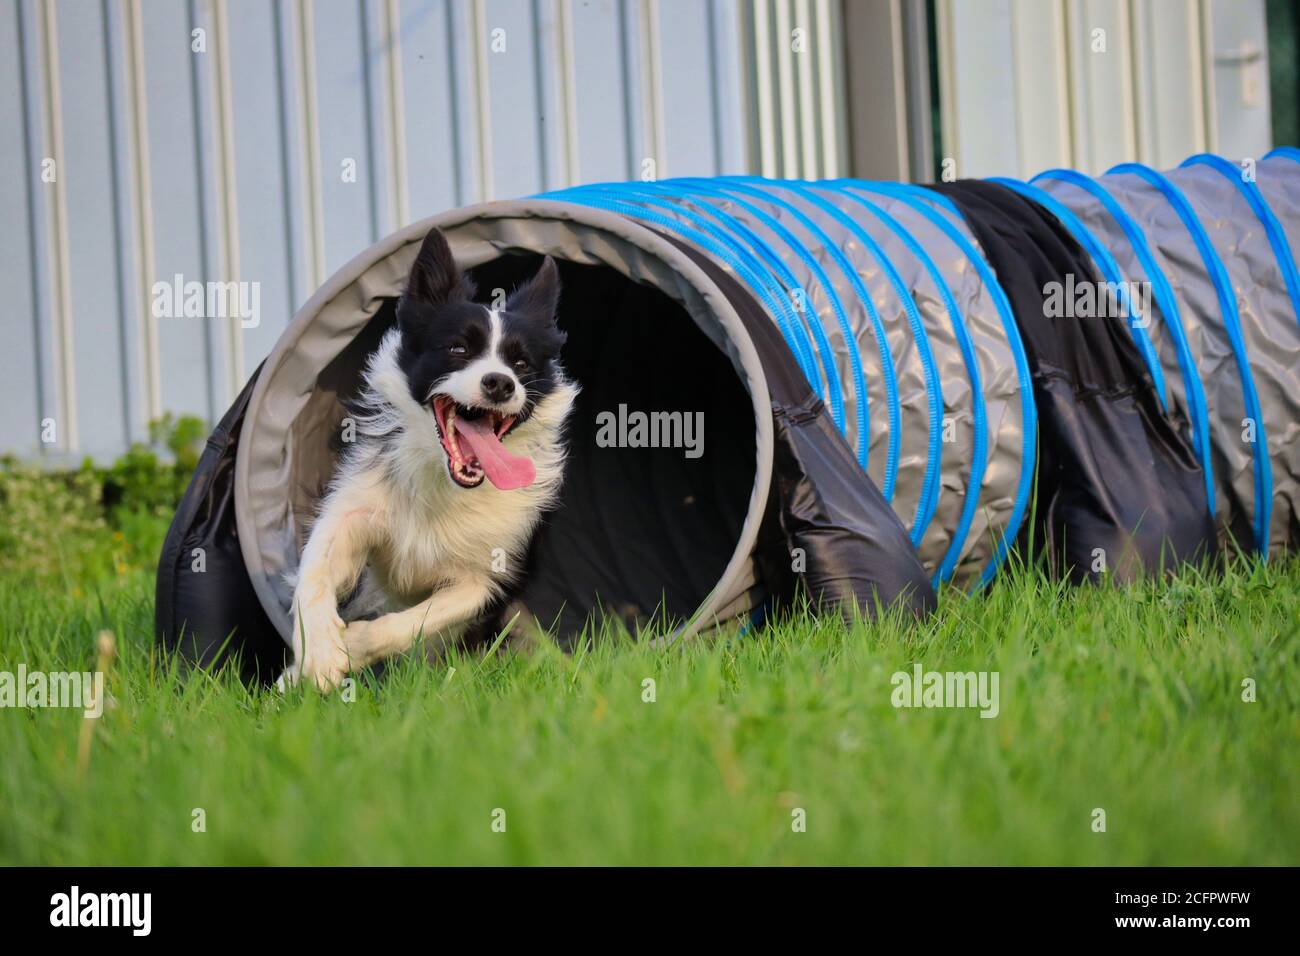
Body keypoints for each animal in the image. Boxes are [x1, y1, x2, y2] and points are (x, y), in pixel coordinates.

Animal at [287, 226, 577, 686]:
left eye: (520, 363)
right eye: (458, 349)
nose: (500, 383)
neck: (444, 478)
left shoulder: (491, 575)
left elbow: (420, 619)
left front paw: (354, 645)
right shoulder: (357, 505)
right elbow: (313, 568)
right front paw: (317, 655)